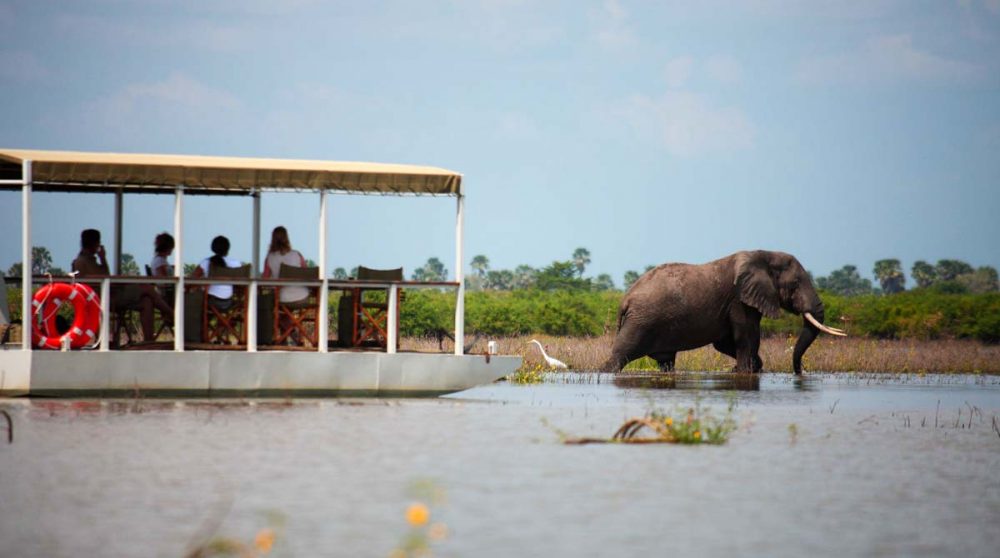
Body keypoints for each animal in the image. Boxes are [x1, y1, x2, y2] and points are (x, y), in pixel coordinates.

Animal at [604, 250, 845, 374]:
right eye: (795, 284)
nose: (798, 372)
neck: (763, 255)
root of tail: (625, 299)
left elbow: (724, 342)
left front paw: (744, 368)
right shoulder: (739, 300)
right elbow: (746, 336)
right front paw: (745, 370)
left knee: (666, 362)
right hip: (641, 322)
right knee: (619, 356)